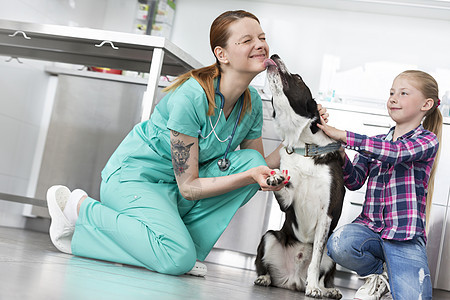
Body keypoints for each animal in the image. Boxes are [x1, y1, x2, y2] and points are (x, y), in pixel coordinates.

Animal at [255, 53, 346, 298]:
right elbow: (282, 185)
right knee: (263, 265)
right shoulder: (288, 202)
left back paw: (326, 290)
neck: (303, 145)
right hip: (268, 236)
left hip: (331, 256)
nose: (274, 55)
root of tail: (292, 281)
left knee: (323, 272)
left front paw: (314, 288)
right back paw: (264, 278)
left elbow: (315, 261)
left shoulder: (326, 215)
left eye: (297, 77)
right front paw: (274, 177)